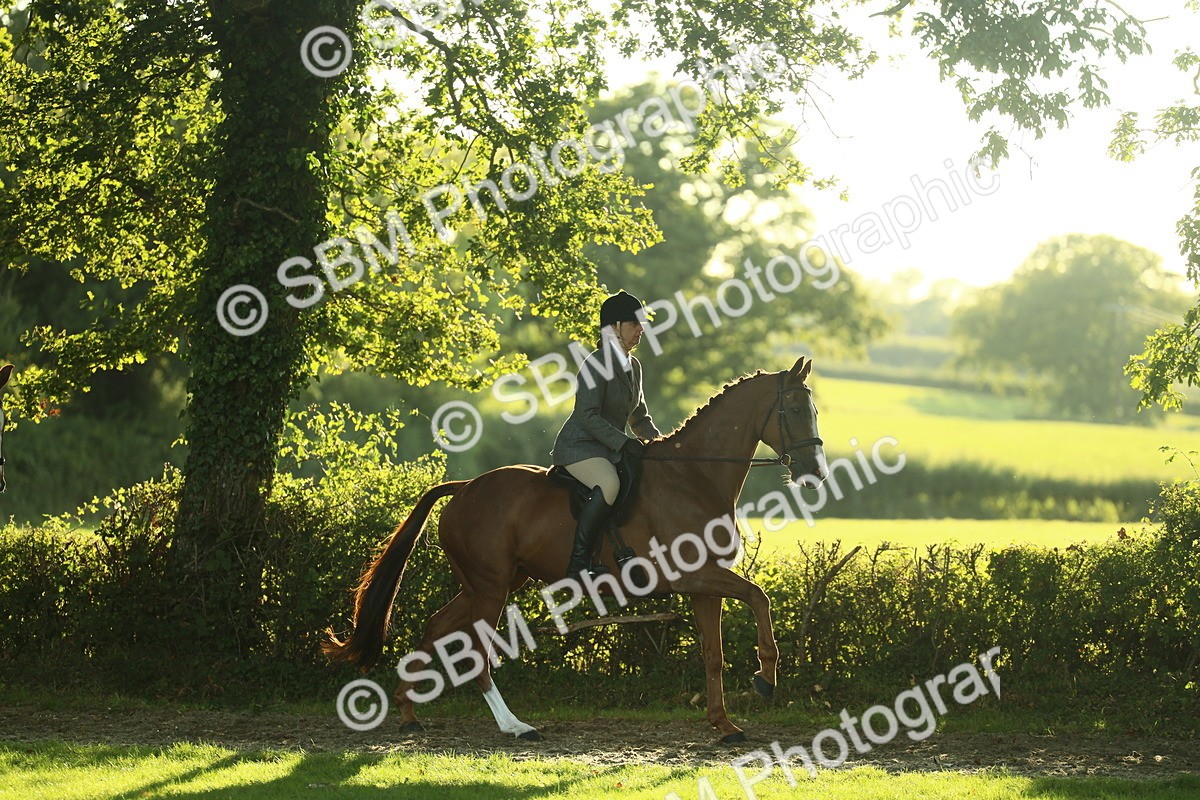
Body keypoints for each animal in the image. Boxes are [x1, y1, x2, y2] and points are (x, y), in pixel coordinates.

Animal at [323, 355, 825, 743]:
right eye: (796, 409)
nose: (815, 473)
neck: (694, 475)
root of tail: (465, 488)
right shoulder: (694, 575)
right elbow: (759, 597)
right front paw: (765, 679)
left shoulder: (704, 586)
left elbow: (713, 654)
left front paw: (724, 725)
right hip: (491, 589)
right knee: (477, 652)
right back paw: (515, 727)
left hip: (490, 583)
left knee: (436, 628)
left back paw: (409, 712)